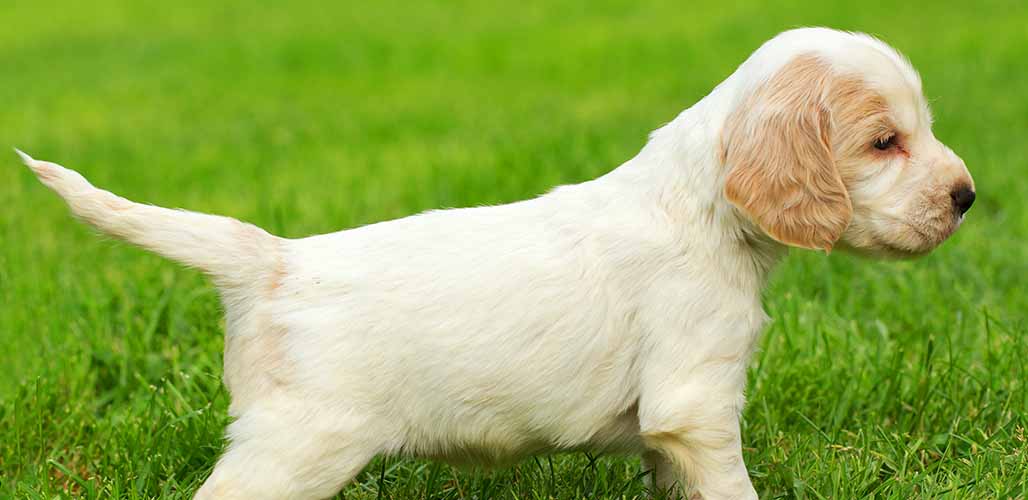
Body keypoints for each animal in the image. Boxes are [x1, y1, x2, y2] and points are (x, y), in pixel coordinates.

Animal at [22, 26, 970, 500]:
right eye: (884, 142)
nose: (965, 196)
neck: (698, 203)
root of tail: (275, 261)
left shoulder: (674, 436)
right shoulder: (696, 405)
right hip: (295, 450)